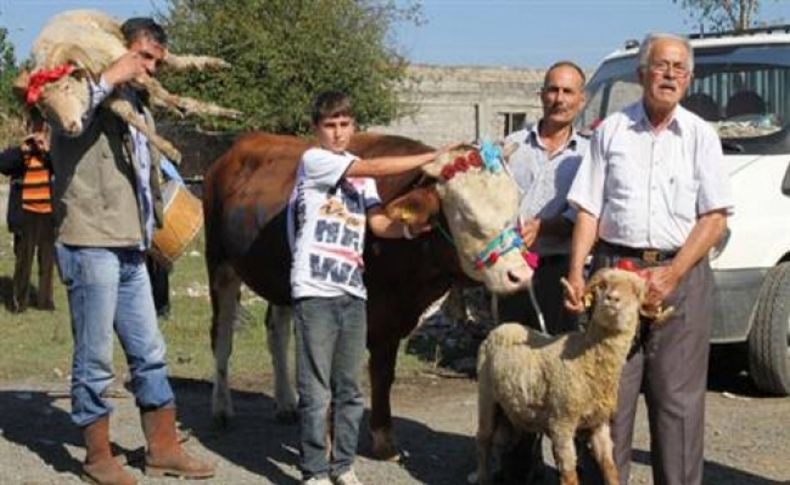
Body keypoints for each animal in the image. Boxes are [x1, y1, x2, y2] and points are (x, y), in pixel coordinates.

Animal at [18, 9, 240, 163]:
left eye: (66, 87)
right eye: (45, 108)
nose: (70, 128)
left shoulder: (124, 58)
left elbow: (156, 87)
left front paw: (177, 105)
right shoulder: (111, 97)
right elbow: (134, 118)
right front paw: (169, 149)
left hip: (139, 50)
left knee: (176, 62)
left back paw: (215, 66)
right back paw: (226, 112)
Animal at [204, 131, 532, 458]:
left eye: (515, 205)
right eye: (466, 215)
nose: (520, 274)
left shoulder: (391, 319)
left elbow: (382, 373)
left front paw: (384, 439)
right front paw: (328, 443)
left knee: (277, 331)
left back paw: (285, 404)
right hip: (219, 263)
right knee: (222, 336)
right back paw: (220, 409)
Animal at [476, 268, 656, 484]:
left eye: (637, 293)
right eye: (602, 285)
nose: (612, 299)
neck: (585, 359)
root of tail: (502, 327)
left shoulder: (599, 424)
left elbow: (610, 467)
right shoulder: (561, 423)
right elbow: (570, 475)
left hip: (513, 410)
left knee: (504, 441)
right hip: (486, 395)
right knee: (484, 439)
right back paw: (483, 476)